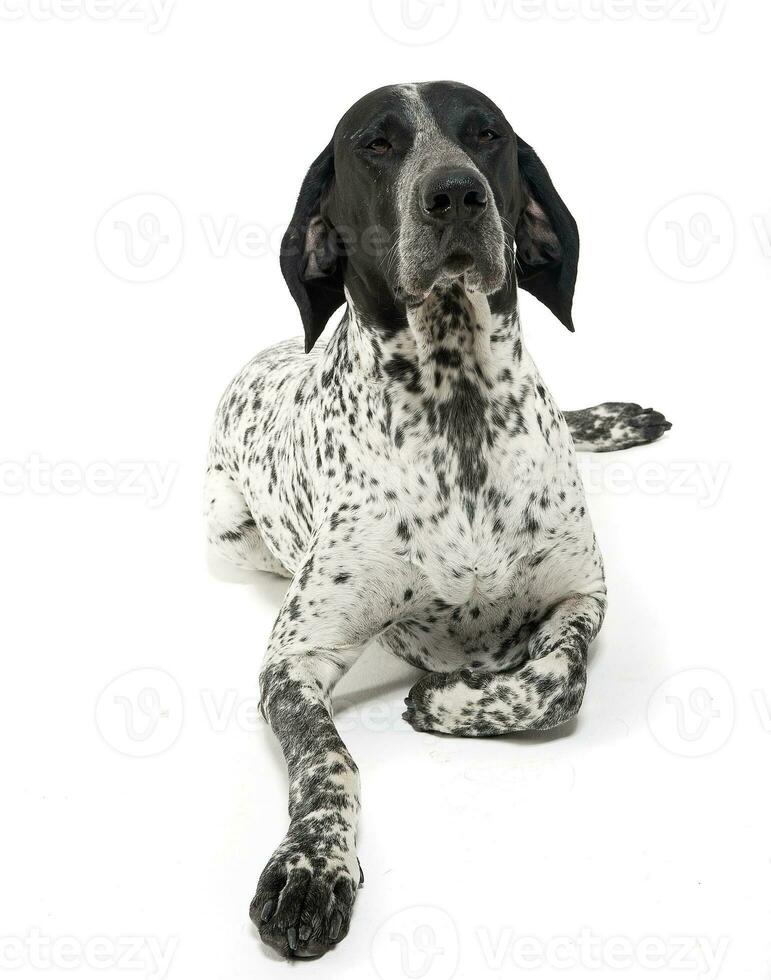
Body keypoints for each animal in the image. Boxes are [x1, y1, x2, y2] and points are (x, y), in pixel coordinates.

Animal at [205, 80, 668, 952]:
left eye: (486, 134)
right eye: (375, 144)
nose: (453, 192)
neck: (457, 408)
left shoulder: (582, 596)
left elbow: (558, 681)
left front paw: (449, 699)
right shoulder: (295, 659)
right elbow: (328, 763)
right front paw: (310, 868)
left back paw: (614, 419)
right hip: (226, 531)